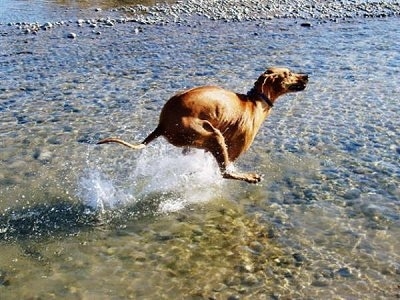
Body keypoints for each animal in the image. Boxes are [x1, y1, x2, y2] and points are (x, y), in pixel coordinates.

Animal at [97, 67, 310, 183]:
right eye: (288, 73)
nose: (307, 75)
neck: (255, 102)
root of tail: (162, 124)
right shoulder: (233, 149)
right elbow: (225, 167)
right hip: (212, 135)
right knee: (225, 173)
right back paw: (250, 177)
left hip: (196, 140)